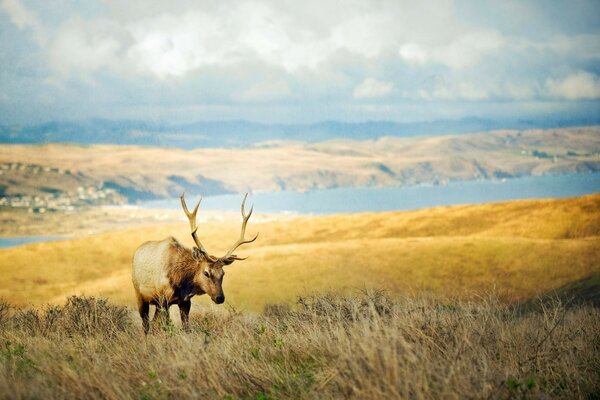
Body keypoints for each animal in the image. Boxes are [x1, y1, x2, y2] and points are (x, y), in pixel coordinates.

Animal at [132, 192, 256, 332]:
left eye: (223, 274)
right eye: (206, 273)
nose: (220, 298)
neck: (181, 282)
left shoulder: (185, 301)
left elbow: (186, 328)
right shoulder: (163, 299)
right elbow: (167, 326)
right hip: (140, 295)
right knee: (146, 323)